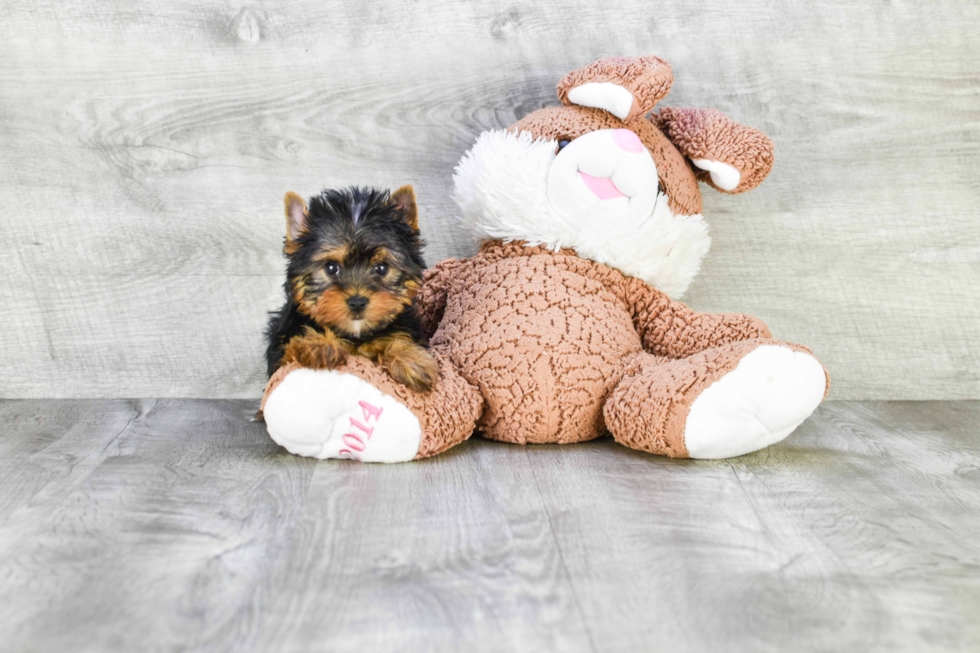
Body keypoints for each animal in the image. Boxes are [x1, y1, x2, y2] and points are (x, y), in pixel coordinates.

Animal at [266, 187, 438, 392]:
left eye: (382, 268)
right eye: (331, 268)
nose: (357, 302)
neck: (355, 335)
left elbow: (399, 340)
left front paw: (411, 358)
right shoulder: (281, 354)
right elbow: (290, 352)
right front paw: (318, 344)